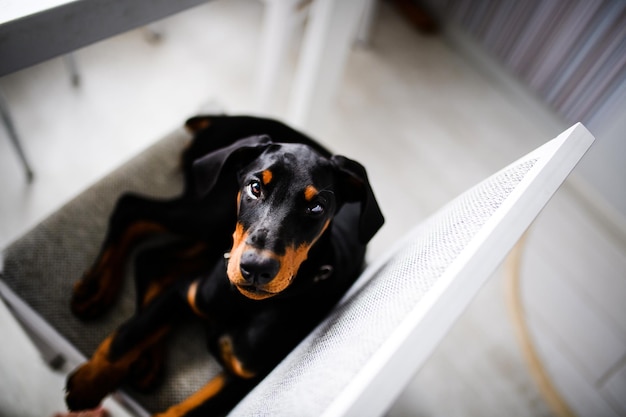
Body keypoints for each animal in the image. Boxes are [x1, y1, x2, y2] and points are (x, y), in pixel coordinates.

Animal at [66, 114, 382, 416]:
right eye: (255, 187)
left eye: (316, 207)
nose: (256, 269)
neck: (246, 303)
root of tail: (225, 117)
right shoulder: (187, 292)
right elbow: (130, 335)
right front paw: (88, 382)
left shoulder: (243, 377)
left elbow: (191, 409)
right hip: (210, 212)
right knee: (131, 207)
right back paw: (96, 289)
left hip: (212, 236)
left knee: (153, 258)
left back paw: (145, 357)